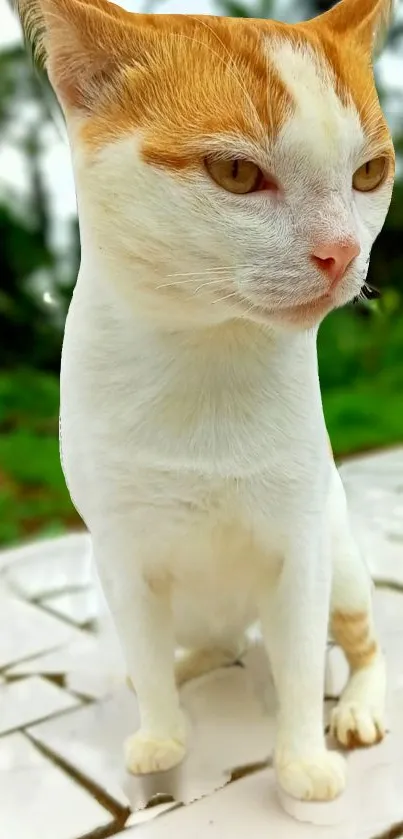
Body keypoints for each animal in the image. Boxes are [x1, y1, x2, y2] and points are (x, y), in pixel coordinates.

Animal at [17, 0, 396, 804]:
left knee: (359, 640)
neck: (207, 358)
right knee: (195, 643)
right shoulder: (119, 555)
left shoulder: (301, 545)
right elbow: (146, 655)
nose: (342, 252)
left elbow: (298, 666)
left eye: (369, 173)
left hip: (341, 557)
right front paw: (161, 732)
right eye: (236, 172)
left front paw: (302, 760)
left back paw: (354, 704)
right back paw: (184, 664)